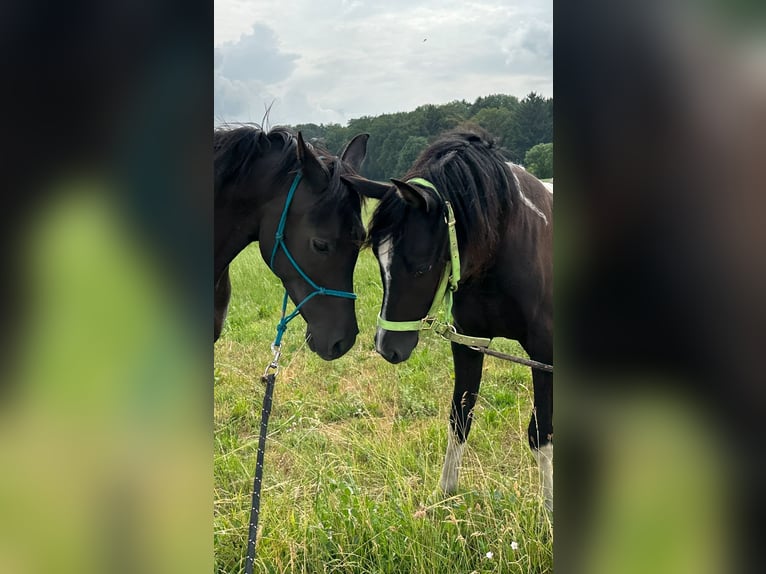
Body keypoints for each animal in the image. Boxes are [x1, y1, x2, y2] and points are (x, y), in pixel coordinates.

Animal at [344, 128, 556, 510]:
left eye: (421, 267)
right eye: (379, 262)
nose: (387, 347)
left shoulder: (543, 353)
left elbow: (541, 431)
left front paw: (548, 509)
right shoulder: (469, 344)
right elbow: (459, 418)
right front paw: (444, 494)